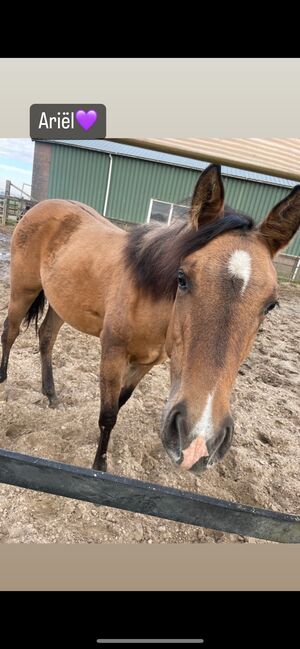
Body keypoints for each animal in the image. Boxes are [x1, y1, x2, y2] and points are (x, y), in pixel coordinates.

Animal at [0, 165, 300, 474]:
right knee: (10, 331)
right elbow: (108, 414)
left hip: (62, 303)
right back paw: (3, 382)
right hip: (23, 290)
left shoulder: (147, 363)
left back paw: (51, 395)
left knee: (46, 338)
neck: (148, 296)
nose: (198, 440)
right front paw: (99, 466)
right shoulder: (112, 354)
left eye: (271, 305)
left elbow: (120, 403)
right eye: (182, 278)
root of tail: (39, 206)